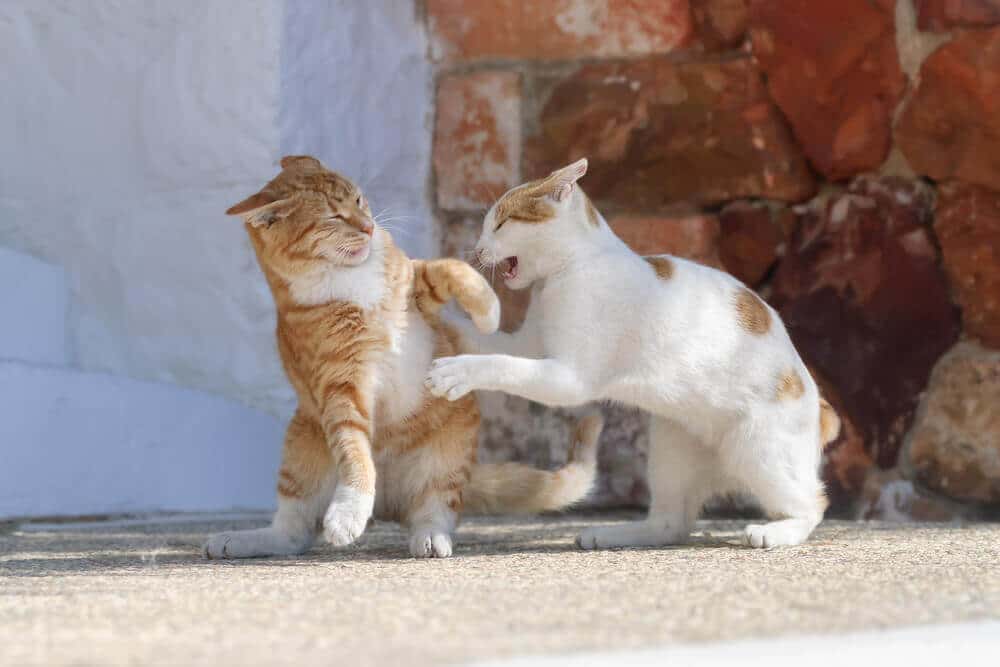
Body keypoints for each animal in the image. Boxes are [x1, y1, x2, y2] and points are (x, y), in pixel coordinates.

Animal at [199, 157, 596, 560]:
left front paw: (489, 313)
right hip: (300, 453)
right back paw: (241, 540)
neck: (350, 279)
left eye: (359, 200)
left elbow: (453, 269)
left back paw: (431, 537)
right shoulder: (340, 386)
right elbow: (354, 451)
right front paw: (348, 513)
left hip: (447, 456)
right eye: (333, 217)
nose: (369, 227)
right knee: (293, 531)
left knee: (435, 508)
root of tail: (388, 502)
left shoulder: (415, 280)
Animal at [426, 160, 840, 548]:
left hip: (758, 451)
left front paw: (456, 372)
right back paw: (612, 534)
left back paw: (775, 533)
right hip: (670, 450)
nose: (476, 250)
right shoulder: (528, 345)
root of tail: (818, 404)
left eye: (499, 224)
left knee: (813, 505)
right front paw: (435, 310)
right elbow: (487, 345)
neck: (566, 273)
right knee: (671, 525)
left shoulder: (569, 377)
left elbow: (500, 365)